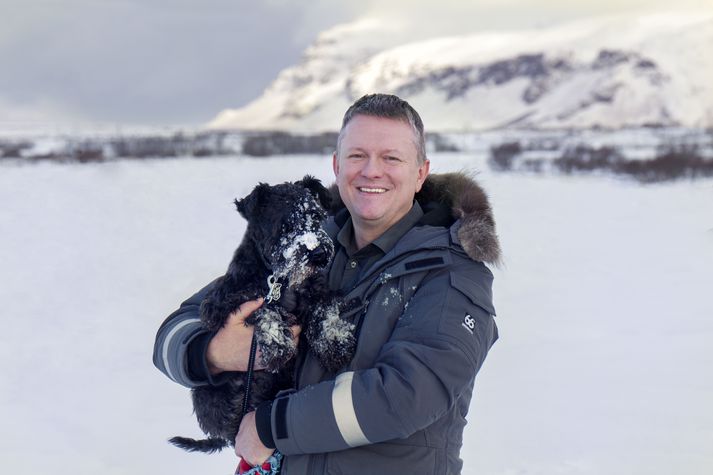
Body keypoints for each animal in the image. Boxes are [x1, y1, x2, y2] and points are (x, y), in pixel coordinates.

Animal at [170, 176, 354, 454]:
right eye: (284, 225)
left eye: (316, 216)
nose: (319, 254)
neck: (280, 280)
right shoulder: (221, 304)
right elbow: (264, 309)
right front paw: (278, 343)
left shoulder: (316, 292)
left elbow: (325, 309)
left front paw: (335, 341)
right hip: (207, 395)